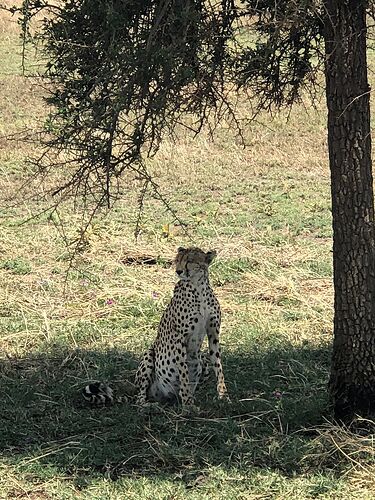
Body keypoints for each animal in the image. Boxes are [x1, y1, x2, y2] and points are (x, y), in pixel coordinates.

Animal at [135, 246, 229, 406]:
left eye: (190, 261)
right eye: (177, 260)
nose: (178, 271)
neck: (198, 289)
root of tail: (164, 395)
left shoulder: (214, 334)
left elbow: (218, 365)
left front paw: (224, 396)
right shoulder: (179, 337)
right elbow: (183, 371)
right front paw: (188, 404)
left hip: (200, 362)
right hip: (149, 355)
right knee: (139, 397)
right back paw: (149, 405)